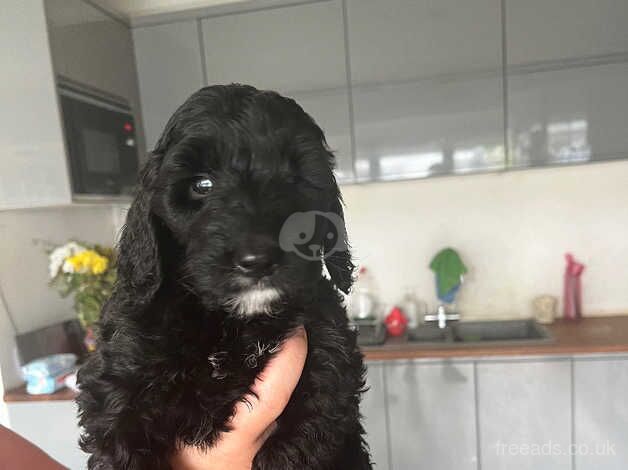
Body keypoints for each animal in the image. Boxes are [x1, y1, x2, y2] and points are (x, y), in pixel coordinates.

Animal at [78, 85, 372, 470]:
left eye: (294, 180)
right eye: (202, 184)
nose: (258, 260)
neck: (232, 322)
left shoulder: (329, 349)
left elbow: (311, 422)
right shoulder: (117, 380)